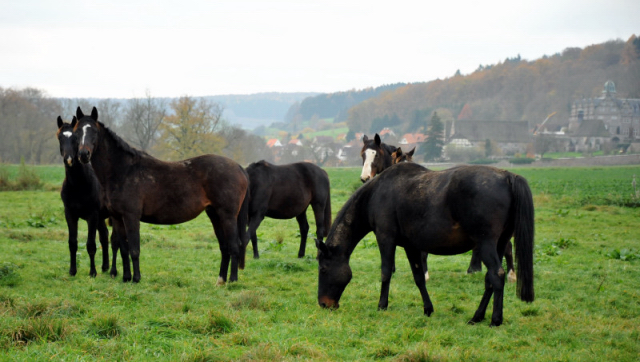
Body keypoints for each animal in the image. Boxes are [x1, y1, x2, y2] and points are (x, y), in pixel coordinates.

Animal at [57, 116, 117, 278]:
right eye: (60, 138)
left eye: (75, 138)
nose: (69, 159)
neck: (79, 184)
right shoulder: (70, 214)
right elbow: (72, 242)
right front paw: (72, 271)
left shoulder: (92, 215)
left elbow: (91, 244)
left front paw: (92, 272)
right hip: (101, 218)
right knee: (104, 236)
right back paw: (105, 266)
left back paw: (112, 270)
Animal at [72, 106, 248, 284]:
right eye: (77, 132)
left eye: (94, 131)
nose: (83, 155)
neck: (123, 171)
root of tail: (239, 168)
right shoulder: (117, 218)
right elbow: (123, 249)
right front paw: (126, 277)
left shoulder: (131, 216)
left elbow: (134, 249)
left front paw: (136, 279)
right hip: (214, 215)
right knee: (224, 247)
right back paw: (220, 280)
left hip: (227, 216)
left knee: (234, 246)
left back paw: (232, 280)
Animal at [316, 163, 536, 326]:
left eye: (323, 269)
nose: (324, 304)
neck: (376, 194)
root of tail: (507, 176)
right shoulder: (411, 246)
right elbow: (419, 278)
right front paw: (428, 309)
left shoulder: (385, 239)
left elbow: (386, 273)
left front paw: (382, 305)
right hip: (499, 243)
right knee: (490, 279)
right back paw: (477, 316)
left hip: (485, 244)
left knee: (497, 276)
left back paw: (495, 320)